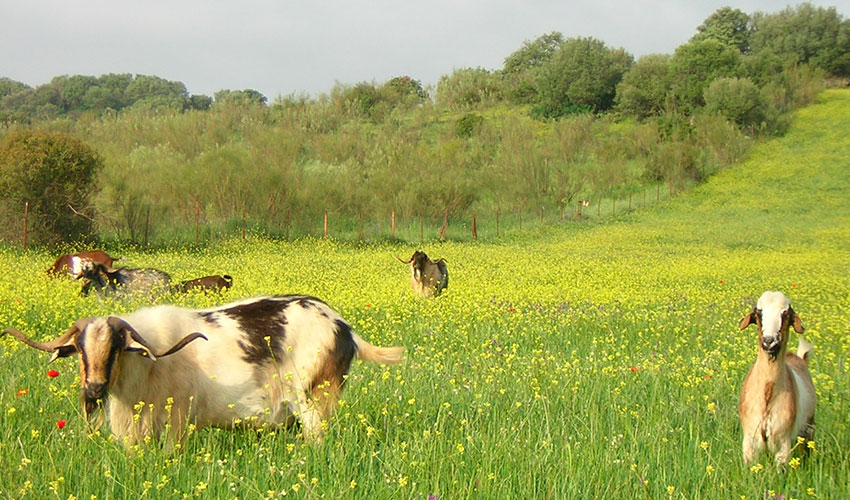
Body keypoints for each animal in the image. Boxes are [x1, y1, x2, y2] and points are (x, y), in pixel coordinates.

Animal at [736, 292, 816, 466]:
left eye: (785, 314)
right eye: (758, 313)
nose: (769, 341)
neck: (768, 392)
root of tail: (799, 358)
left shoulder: (783, 444)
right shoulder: (749, 442)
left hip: (808, 430)